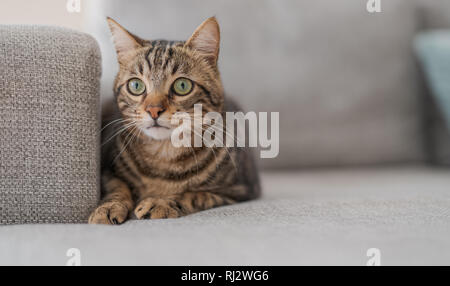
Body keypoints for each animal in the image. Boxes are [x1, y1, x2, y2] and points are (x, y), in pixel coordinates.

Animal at [88, 16, 260, 225]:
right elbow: (116, 187)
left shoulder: (239, 190)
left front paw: (161, 201)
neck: (163, 154)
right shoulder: (107, 171)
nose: (154, 110)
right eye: (136, 85)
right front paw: (108, 207)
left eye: (182, 85)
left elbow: (195, 195)